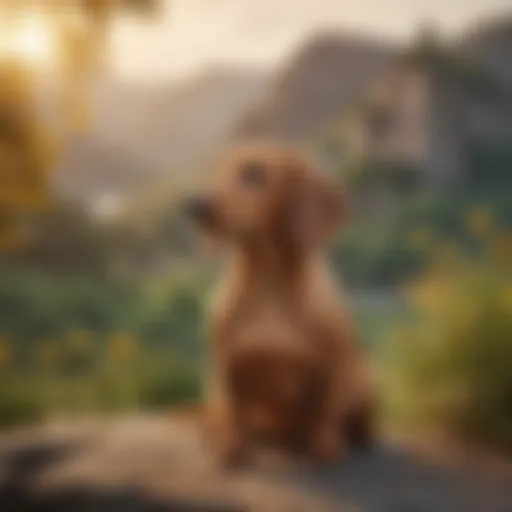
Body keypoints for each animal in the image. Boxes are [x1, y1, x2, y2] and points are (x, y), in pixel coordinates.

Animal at [182, 142, 374, 466]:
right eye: (215, 170)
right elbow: (232, 412)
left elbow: (325, 412)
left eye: (255, 173)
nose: (196, 207)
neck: (268, 285)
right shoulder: (225, 366)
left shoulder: (333, 364)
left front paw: (325, 445)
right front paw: (231, 447)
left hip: (363, 378)